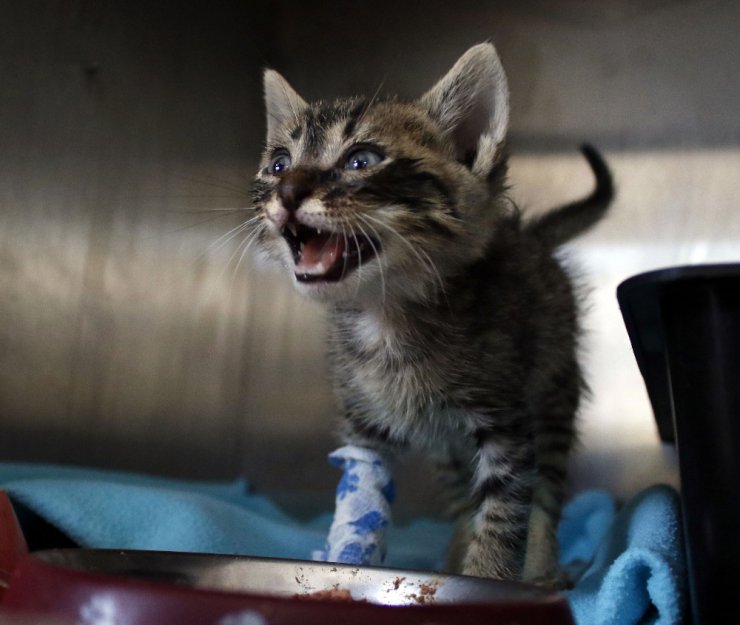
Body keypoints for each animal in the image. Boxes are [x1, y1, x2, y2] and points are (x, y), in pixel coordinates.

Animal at [250, 41, 612, 584]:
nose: (287, 192)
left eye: (361, 160)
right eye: (278, 165)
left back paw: (542, 568)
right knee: (464, 499)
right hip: (449, 447)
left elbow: (504, 516)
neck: (386, 319)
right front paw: (344, 562)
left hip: (554, 393)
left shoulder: (507, 424)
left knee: (545, 492)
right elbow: (360, 501)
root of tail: (529, 237)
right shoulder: (363, 434)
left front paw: (490, 578)